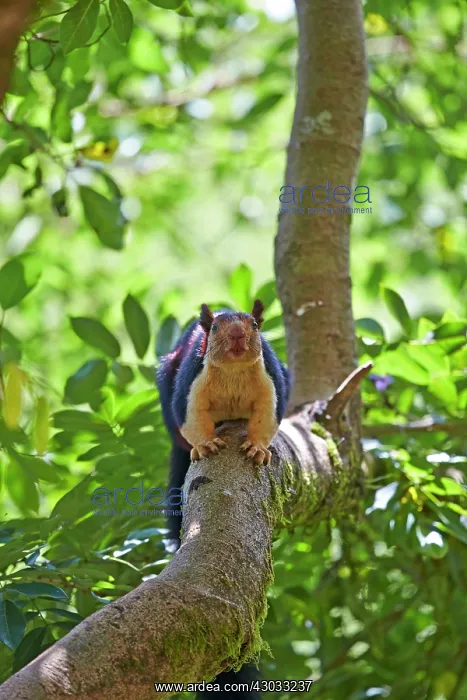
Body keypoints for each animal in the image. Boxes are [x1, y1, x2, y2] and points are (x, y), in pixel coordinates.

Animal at [156, 299, 290, 542]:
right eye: (215, 328)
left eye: (254, 325)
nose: (237, 333)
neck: (233, 369)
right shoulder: (191, 378)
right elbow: (189, 415)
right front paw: (205, 444)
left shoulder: (271, 379)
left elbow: (267, 415)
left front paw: (257, 448)